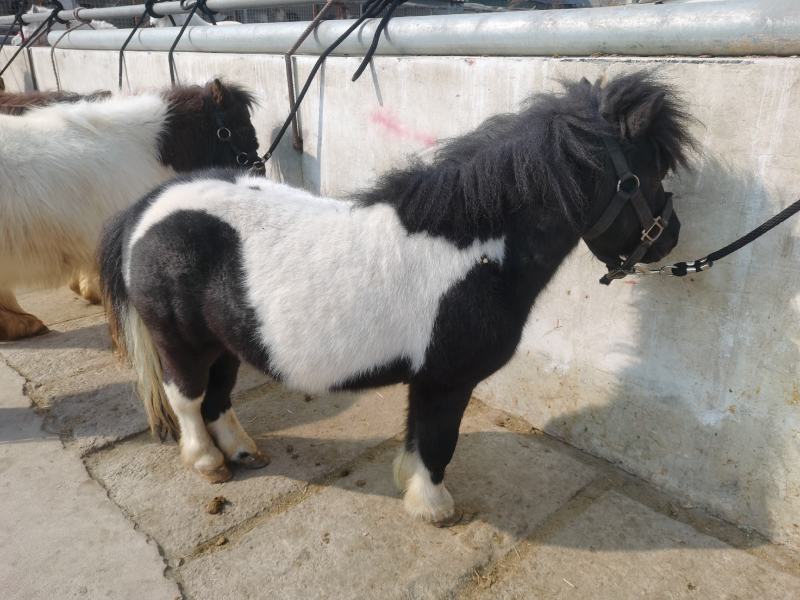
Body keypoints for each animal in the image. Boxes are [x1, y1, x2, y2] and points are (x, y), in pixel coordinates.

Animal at [99, 72, 694, 523]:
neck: (476, 252)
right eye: (648, 174)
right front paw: (434, 506)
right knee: (187, 399)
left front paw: (410, 484)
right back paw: (207, 463)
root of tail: (148, 208)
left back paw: (243, 451)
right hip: (180, 343)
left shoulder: (427, 377)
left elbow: (416, 436)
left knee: (218, 398)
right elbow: (437, 441)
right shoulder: (446, 381)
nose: (670, 237)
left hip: (223, 343)